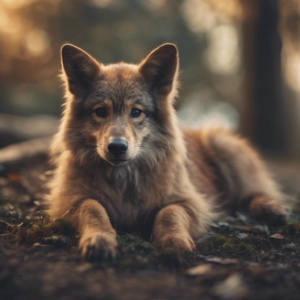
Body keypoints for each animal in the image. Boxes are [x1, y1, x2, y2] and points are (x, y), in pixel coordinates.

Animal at [48, 42, 288, 260]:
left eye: (136, 112)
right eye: (100, 112)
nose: (116, 147)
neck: (124, 180)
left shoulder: (191, 202)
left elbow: (169, 212)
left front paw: (174, 240)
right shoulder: (68, 202)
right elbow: (93, 208)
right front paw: (99, 237)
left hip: (223, 145)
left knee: (253, 193)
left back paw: (270, 209)